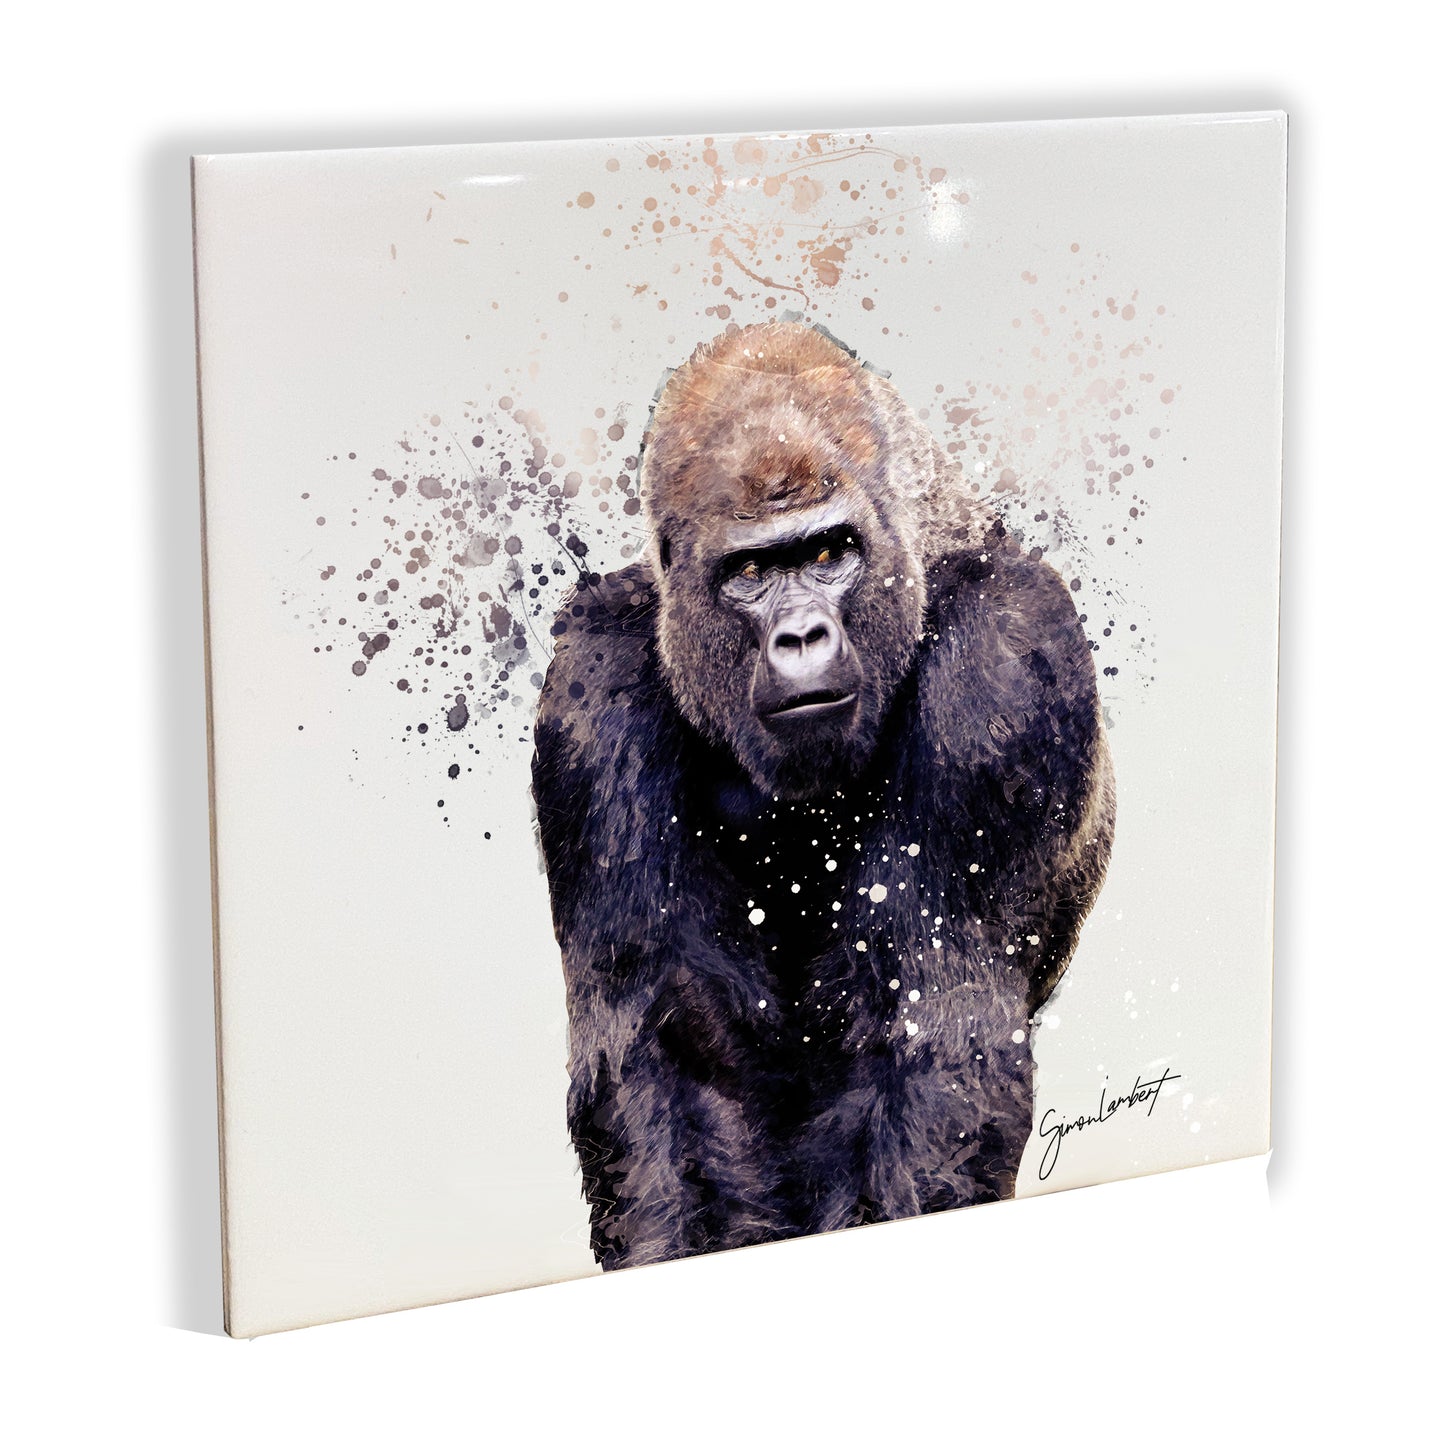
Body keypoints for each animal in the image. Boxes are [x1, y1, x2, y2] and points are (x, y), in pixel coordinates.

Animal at [531, 320, 1114, 1270]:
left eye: (829, 554)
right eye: (750, 571)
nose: (801, 635)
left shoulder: (1007, 655)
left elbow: (938, 1043)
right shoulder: (593, 680)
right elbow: (667, 1062)